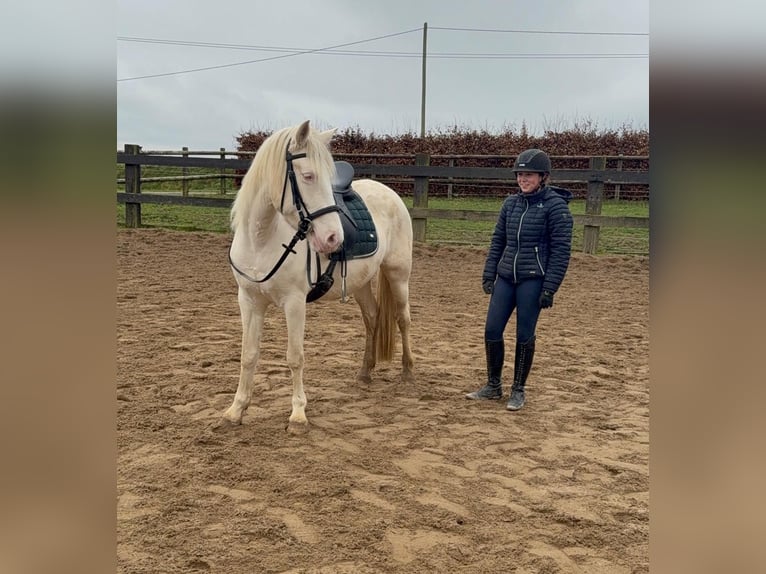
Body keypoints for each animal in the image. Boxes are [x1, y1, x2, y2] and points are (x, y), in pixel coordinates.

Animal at [220, 120, 414, 434]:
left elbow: (295, 357)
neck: (263, 240)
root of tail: (388, 191)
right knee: (372, 318)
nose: (334, 238)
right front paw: (236, 410)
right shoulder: (249, 302)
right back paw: (365, 372)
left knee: (402, 319)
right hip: (361, 283)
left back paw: (408, 371)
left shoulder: (294, 303)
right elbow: (248, 355)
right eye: (308, 176)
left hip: (398, 274)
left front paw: (298, 415)